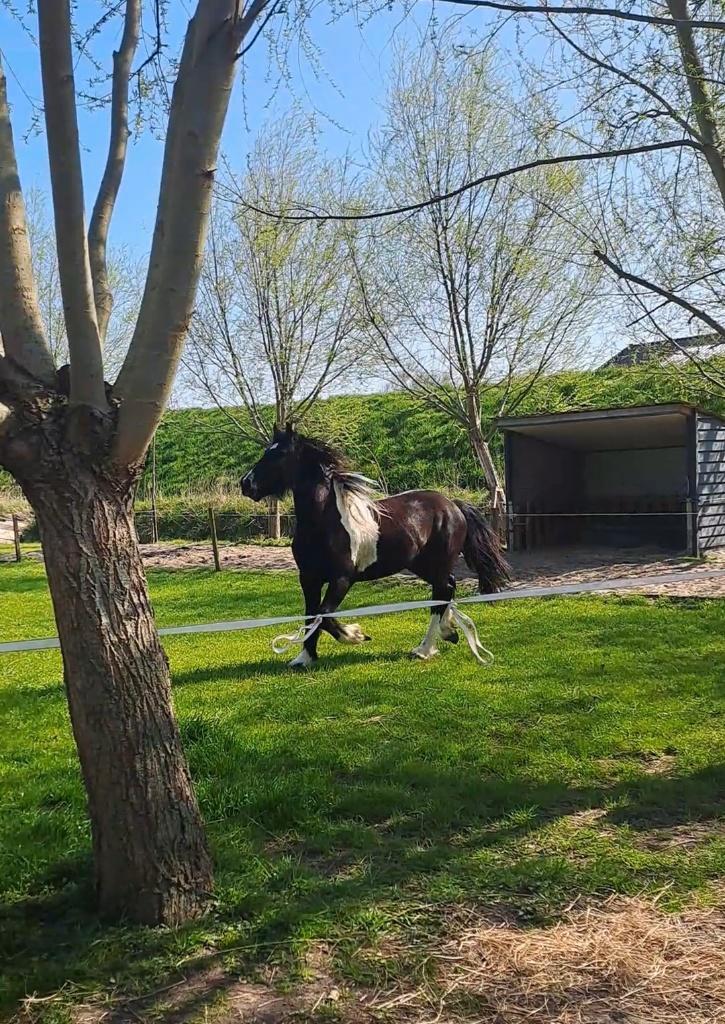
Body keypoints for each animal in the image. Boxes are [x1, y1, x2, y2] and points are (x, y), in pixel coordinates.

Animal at [241, 425, 510, 667]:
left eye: (279, 454)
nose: (246, 483)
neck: (324, 522)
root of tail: (453, 505)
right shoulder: (309, 578)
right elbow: (311, 615)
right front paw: (304, 658)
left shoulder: (342, 579)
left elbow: (324, 615)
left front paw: (356, 635)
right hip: (423, 565)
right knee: (447, 588)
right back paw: (447, 633)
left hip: (437, 563)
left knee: (442, 593)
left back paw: (425, 649)